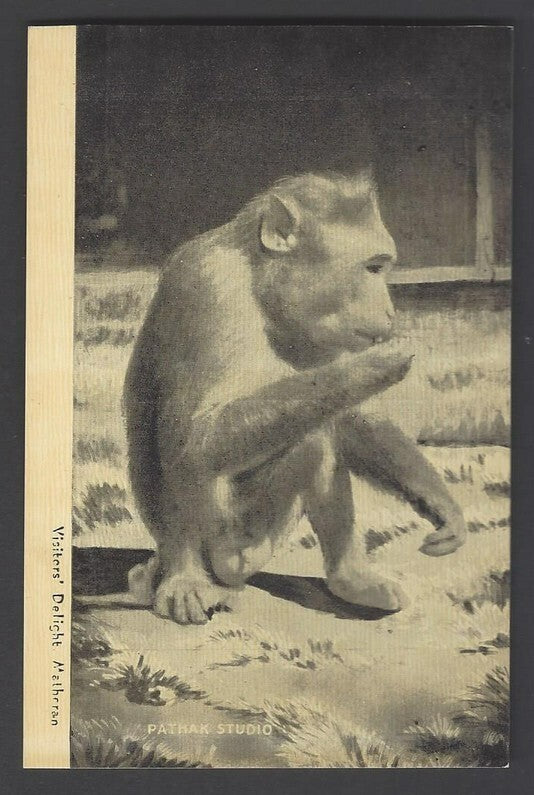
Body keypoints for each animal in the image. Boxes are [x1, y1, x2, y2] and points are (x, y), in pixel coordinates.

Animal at [124, 171, 466, 625]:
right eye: (373, 268)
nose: (390, 311)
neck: (260, 285)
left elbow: (348, 414)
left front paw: (436, 498)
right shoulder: (207, 284)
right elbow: (197, 437)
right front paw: (371, 367)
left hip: (264, 539)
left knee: (318, 434)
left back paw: (349, 578)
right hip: (227, 539)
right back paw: (184, 576)